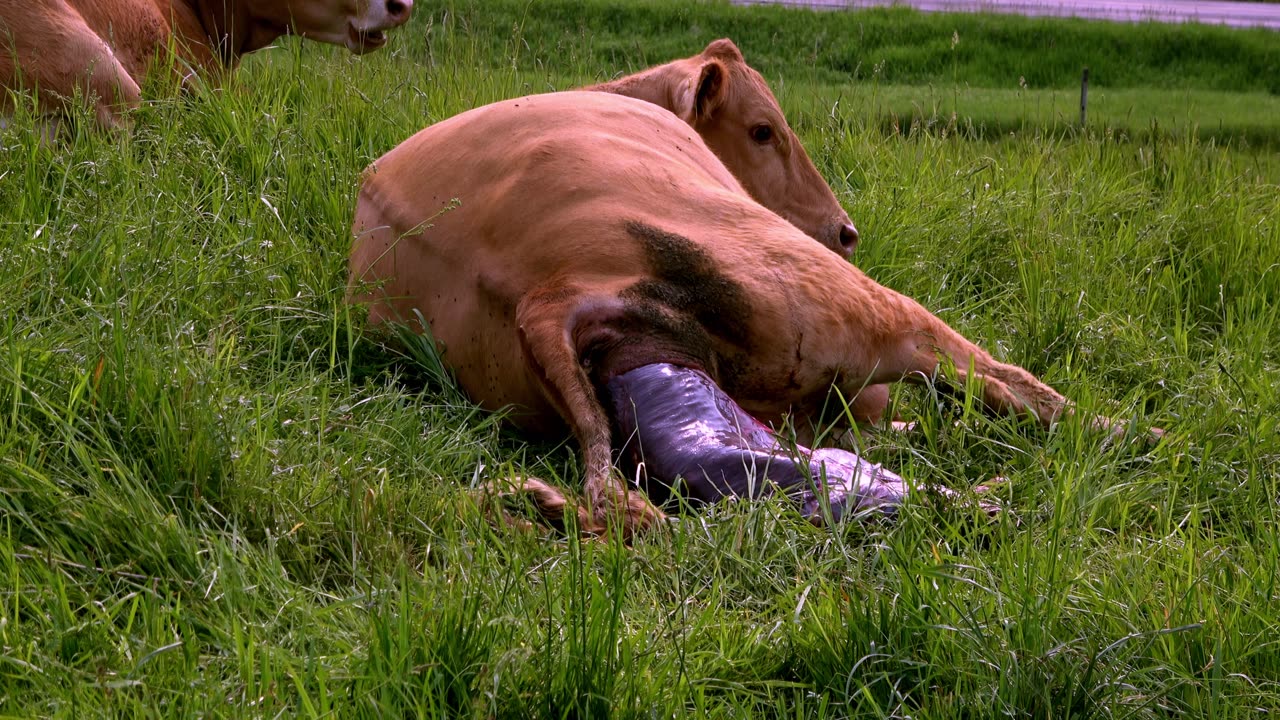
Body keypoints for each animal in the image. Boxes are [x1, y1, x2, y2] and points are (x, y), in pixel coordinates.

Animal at [348, 92, 1152, 535]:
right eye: (765, 129)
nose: (843, 229)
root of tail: (546, 294)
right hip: (844, 304)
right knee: (1015, 385)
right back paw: (1132, 439)